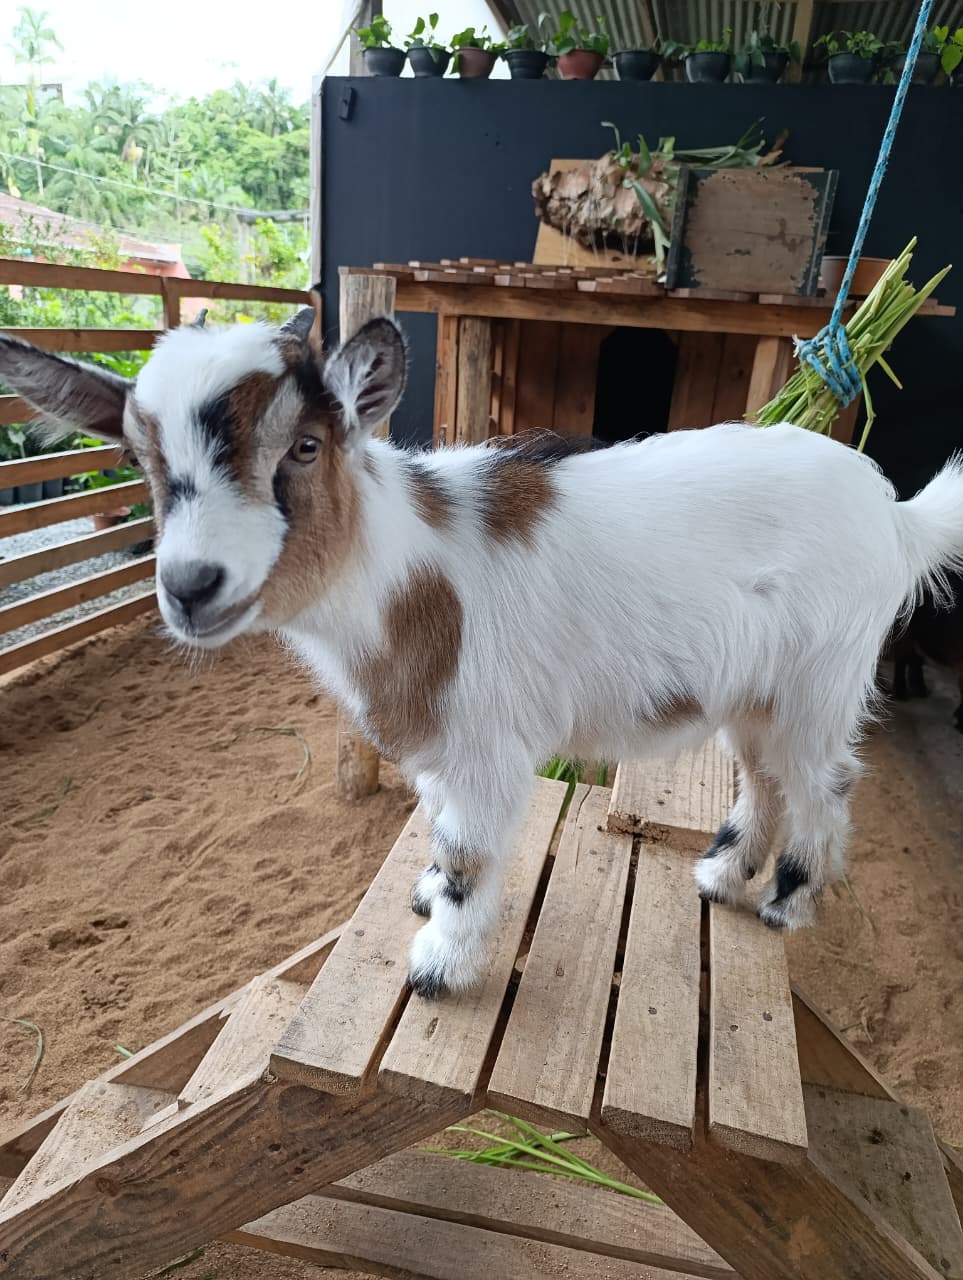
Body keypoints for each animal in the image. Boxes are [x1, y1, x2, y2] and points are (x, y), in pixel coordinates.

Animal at [3, 311, 963, 998]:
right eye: (143, 463)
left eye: (305, 446)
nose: (192, 586)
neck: (403, 575)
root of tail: (896, 517)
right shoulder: (437, 744)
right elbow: (434, 830)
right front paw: (427, 896)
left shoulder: (485, 744)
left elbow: (469, 853)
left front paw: (439, 963)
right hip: (756, 689)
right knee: (764, 777)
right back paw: (724, 877)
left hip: (822, 678)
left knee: (823, 785)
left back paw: (786, 904)